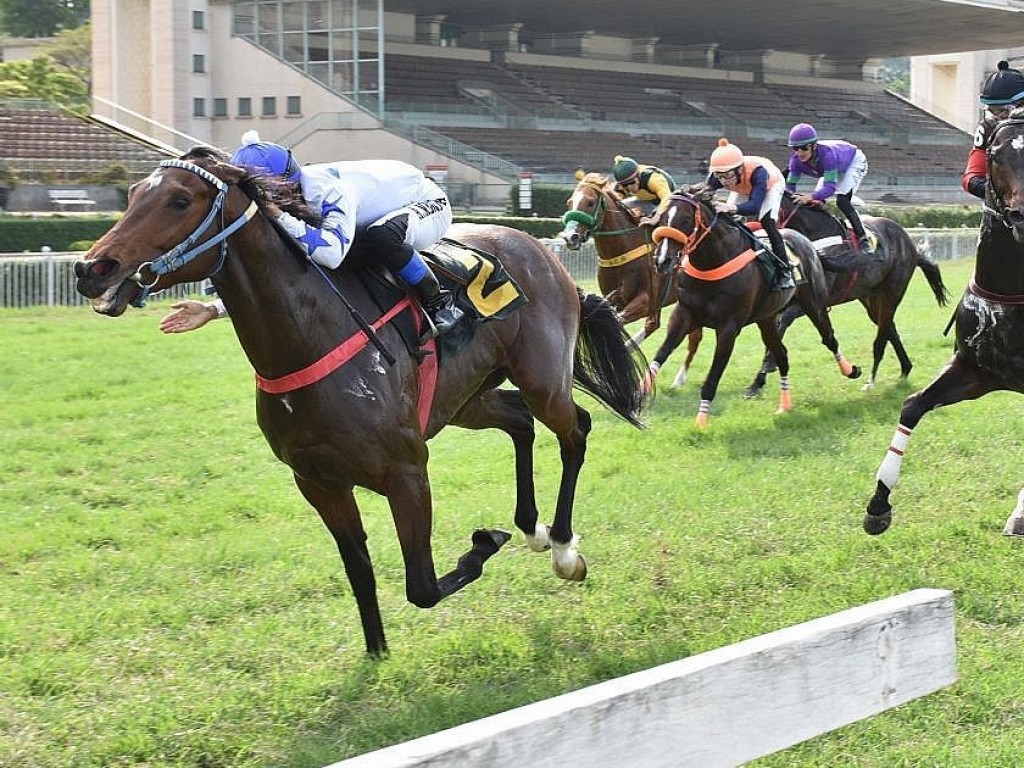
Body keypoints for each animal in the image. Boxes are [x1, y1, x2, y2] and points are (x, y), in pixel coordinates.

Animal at [72, 147, 647, 659]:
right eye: (132, 194)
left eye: (178, 200)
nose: (91, 268)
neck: (310, 334)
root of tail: (546, 254)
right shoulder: (318, 482)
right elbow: (359, 571)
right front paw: (376, 655)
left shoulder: (406, 471)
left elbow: (421, 586)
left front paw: (486, 541)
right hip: (465, 400)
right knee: (519, 422)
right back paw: (532, 527)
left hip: (542, 379)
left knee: (574, 430)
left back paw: (563, 548)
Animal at [557, 169, 700, 382]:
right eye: (569, 202)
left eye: (590, 202)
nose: (569, 237)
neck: (623, 248)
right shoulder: (616, 296)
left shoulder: (646, 300)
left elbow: (616, 320)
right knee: (655, 325)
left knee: (691, 336)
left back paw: (679, 379)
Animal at [741, 191, 946, 397]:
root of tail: (908, 240)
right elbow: (774, 334)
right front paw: (757, 383)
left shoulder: (810, 303)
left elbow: (782, 326)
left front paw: (767, 368)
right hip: (870, 298)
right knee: (888, 327)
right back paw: (905, 368)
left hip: (892, 291)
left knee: (883, 331)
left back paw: (873, 379)